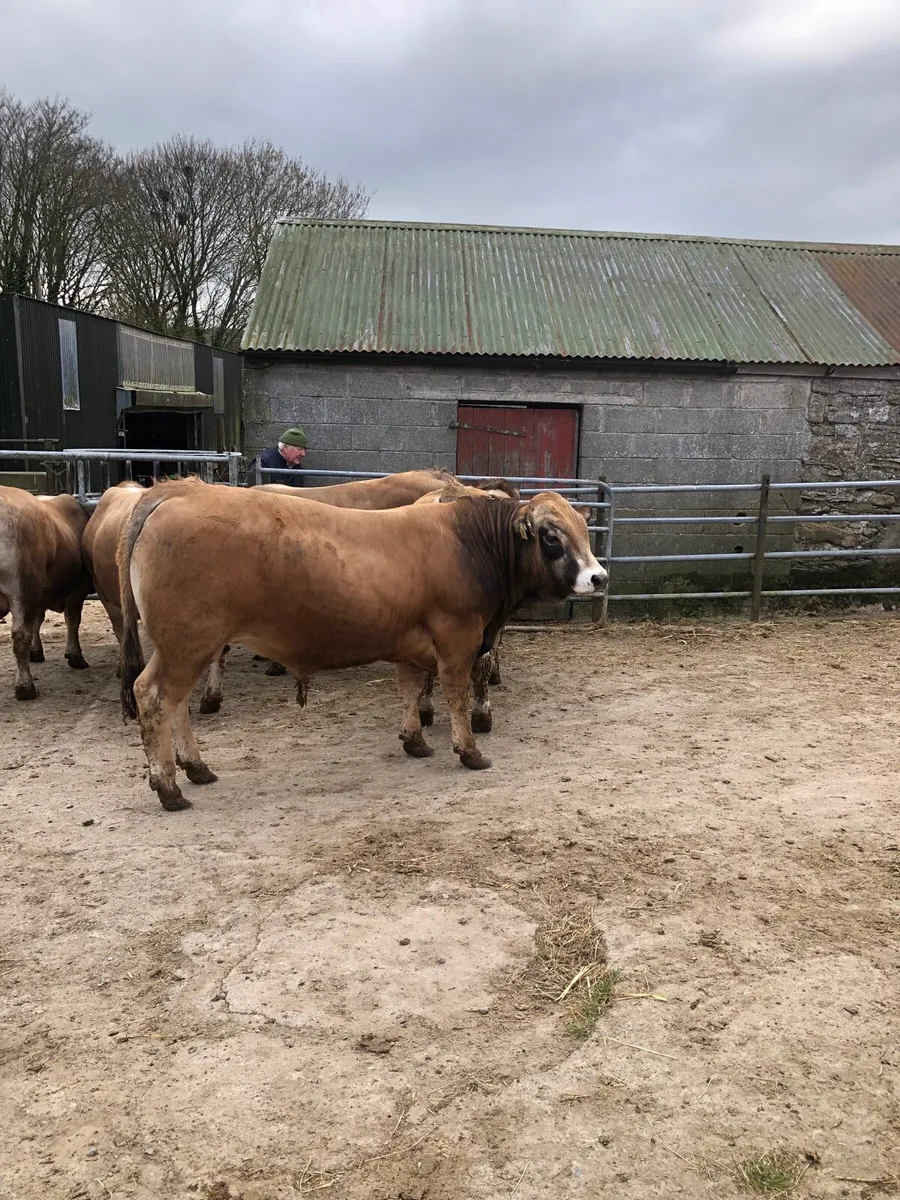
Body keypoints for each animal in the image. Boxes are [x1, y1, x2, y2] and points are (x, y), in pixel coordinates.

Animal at [0, 486, 91, 699]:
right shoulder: (77, 590)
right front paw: (75, 655)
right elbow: (72, 620)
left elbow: (37, 622)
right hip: (21, 589)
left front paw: (36, 652)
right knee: (20, 636)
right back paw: (25, 688)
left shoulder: (38, 597)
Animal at [117, 480, 607, 810]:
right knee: (154, 697)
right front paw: (469, 751)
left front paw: (415, 740)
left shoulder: (413, 643)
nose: (599, 577)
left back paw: (196, 769)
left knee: (177, 703)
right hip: (187, 643)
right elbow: (456, 694)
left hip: (185, 647)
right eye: (551, 536)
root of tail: (177, 492)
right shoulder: (458, 639)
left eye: (585, 531)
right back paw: (168, 786)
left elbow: (410, 689)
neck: (470, 543)